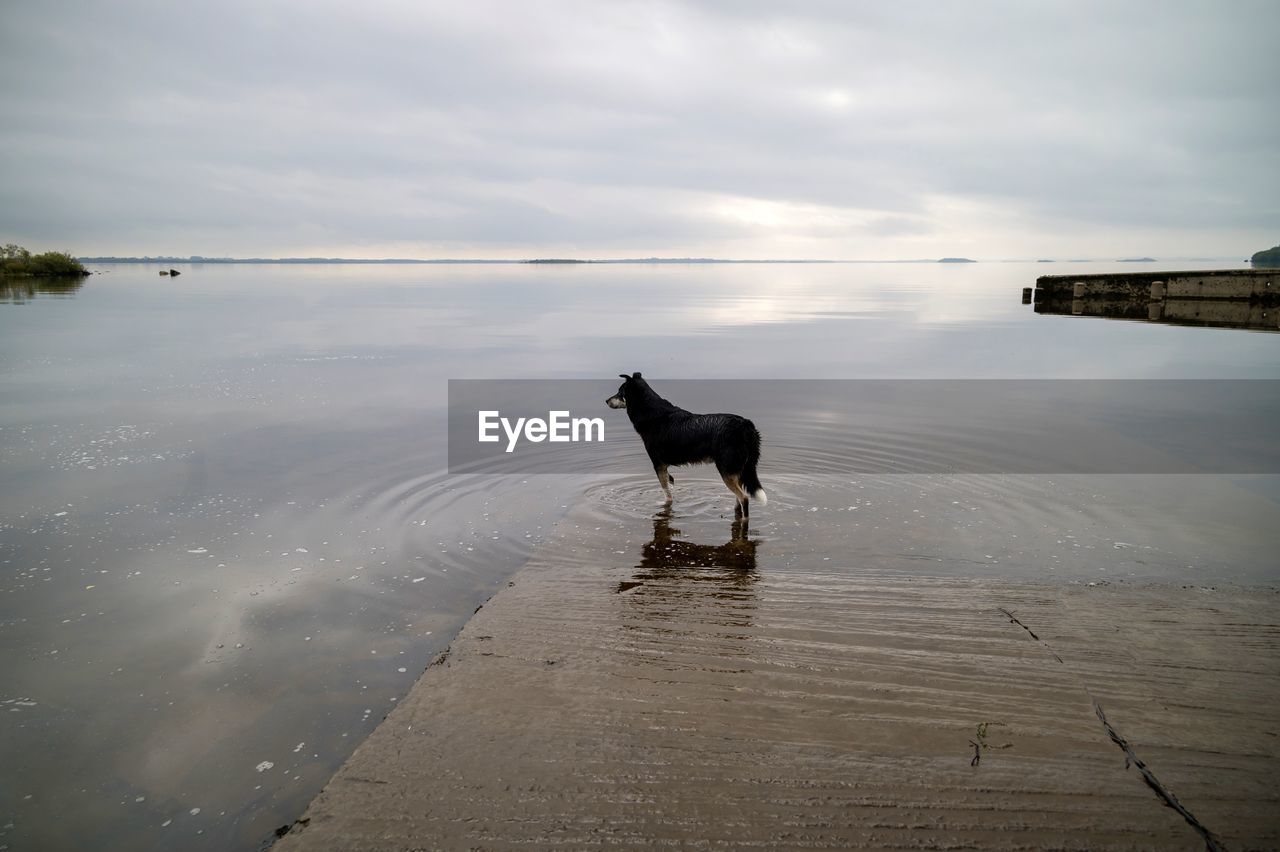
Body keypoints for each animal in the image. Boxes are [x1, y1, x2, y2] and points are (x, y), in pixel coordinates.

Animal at [604, 373, 762, 516]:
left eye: (620, 392)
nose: (606, 401)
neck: (652, 413)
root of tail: (746, 425)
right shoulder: (664, 466)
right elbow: (670, 482)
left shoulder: (658, 464)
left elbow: (667, 496)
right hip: (737, 469)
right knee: (738, 499)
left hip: (726, 470)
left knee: (744, 498)